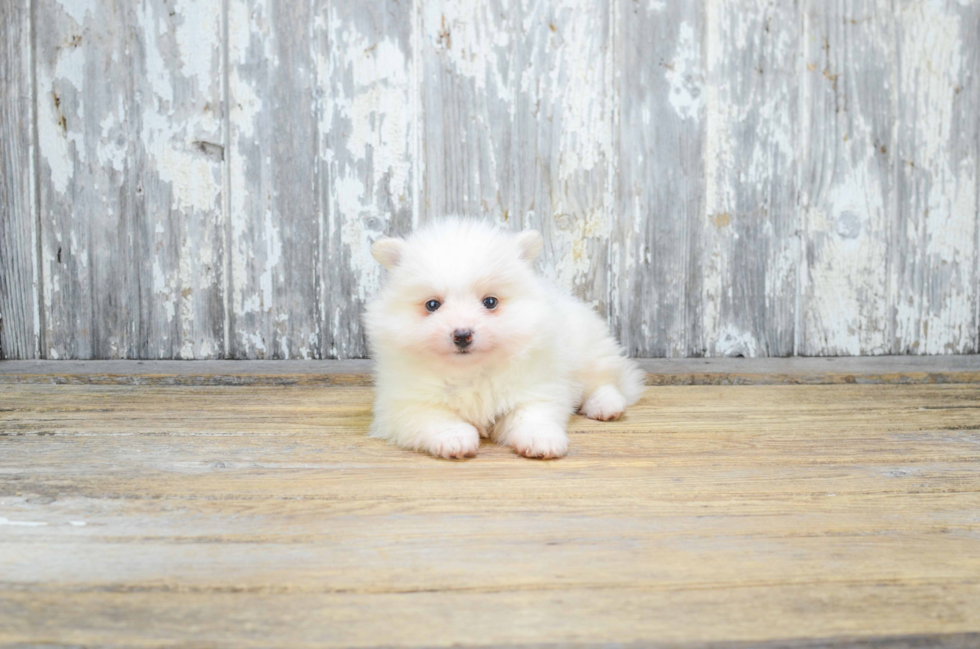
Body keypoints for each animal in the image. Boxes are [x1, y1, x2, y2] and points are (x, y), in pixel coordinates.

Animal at [364, 219, 648, 460]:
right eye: (432, 305)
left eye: (490, 302)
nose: (462, 334)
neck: (470, 372)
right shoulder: (405, 403)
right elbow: (435, 419)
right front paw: (455, 438)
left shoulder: (536, 388)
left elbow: (533, 415)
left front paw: (541, 440)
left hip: (589, 352)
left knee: (605, 382)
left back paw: (606, 406)